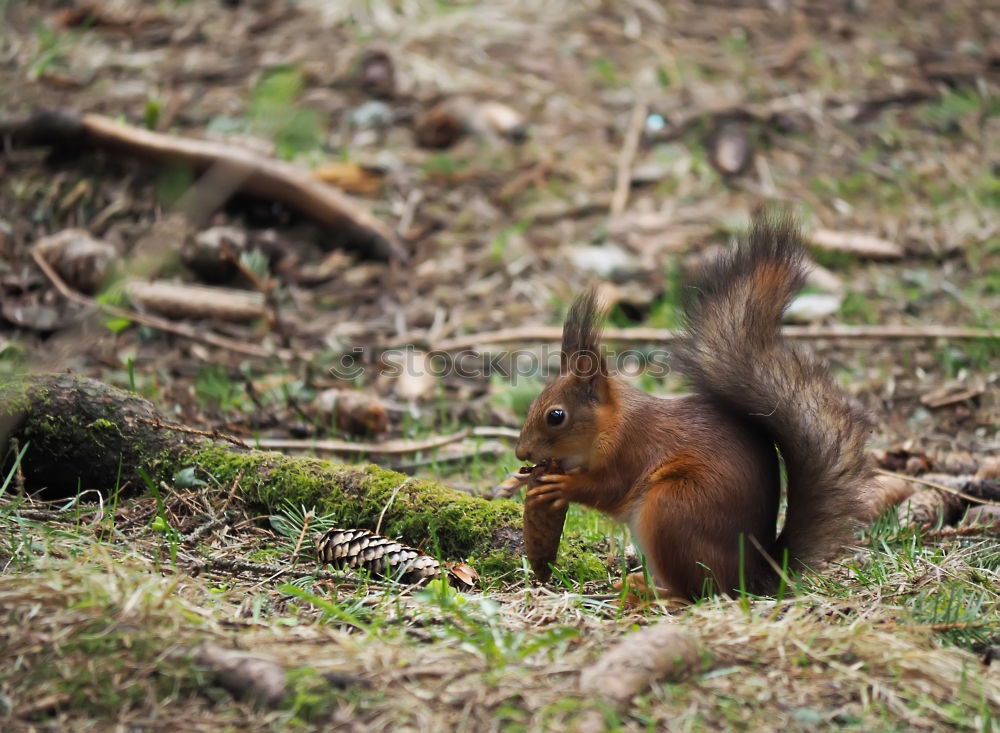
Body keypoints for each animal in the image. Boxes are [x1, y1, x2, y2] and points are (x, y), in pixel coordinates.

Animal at [516, 213, 876, 600]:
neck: (611, 423)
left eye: (556, 416)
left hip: (673, 509)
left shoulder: (631, 449)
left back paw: (649, 595)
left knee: (695, 592)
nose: (522, 453)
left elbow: (608, 488)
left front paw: (561, 487)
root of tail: (752, 576)